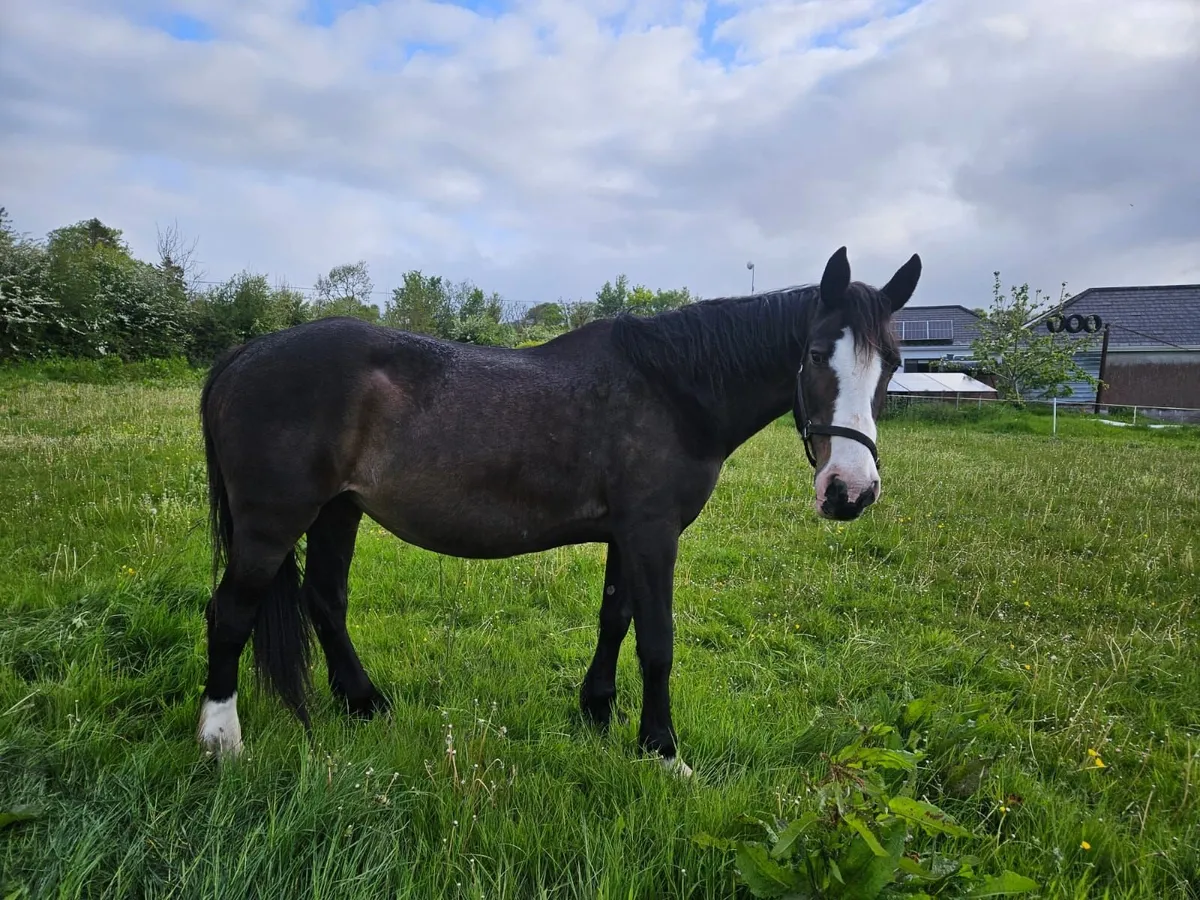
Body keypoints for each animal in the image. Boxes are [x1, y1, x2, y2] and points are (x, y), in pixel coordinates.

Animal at [195, 246, 921, 776]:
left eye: (892, 363)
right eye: (813, 355)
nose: (850, 491)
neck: (671, 389)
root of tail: (244, 355)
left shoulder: (626, 535)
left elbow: (615, 620)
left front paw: (597, 712)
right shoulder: (653, 533)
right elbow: (657, 640)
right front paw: (662, 751)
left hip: (337, 511)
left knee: (325, 600)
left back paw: (365, 702)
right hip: (272, 523)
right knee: (229, 612)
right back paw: (221, 739)